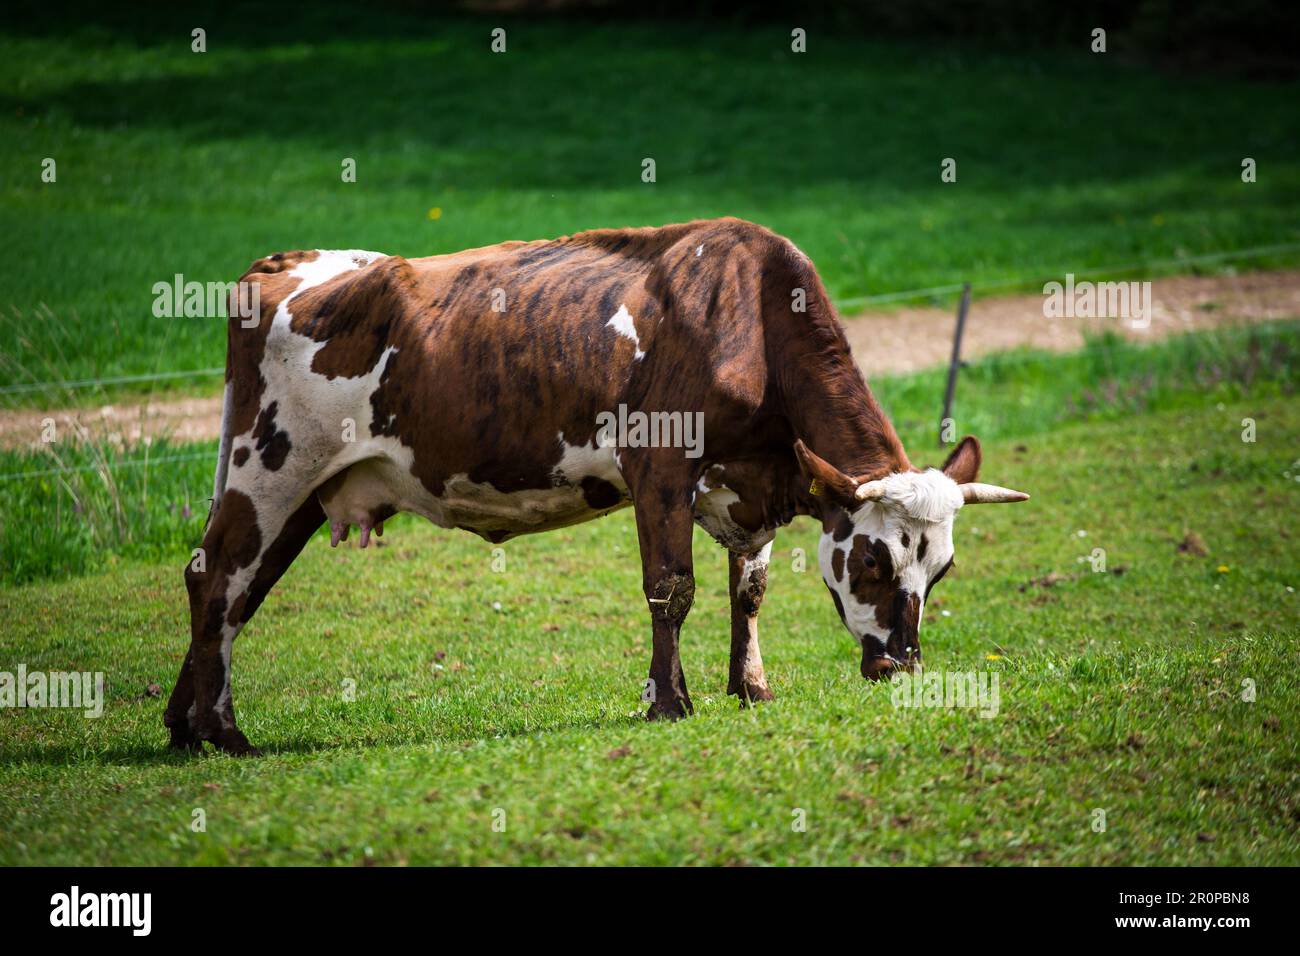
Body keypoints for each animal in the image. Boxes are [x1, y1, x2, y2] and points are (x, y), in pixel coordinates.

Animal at [167, 218, 1024, 754]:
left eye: (941, 568)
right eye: (873, 560)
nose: (901, 665)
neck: (749, 319)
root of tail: (284, 265)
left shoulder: (755, 486)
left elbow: (747, 591)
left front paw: (750, 689)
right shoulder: (659, 468)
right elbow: (670, 588)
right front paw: (668, 702)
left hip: (300, 489)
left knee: (235, 587)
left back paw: (186, 726)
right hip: (269, 465)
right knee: (219, 582)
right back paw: (227, 735)